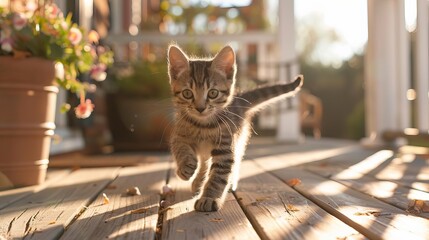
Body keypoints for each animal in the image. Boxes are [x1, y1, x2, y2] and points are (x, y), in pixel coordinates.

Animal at [166, 44, 300, 211]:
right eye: (187, 93)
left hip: (239, 138)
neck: (203, 125)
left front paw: (209, 198)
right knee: (204, 160)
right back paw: (198, 181)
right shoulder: (179, 133)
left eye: (213, 93)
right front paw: (185, 167)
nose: (200, 108)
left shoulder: (225, 146)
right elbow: (180, 148)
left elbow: (218, 175)